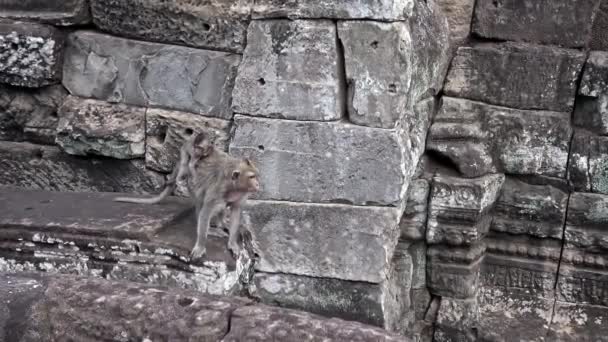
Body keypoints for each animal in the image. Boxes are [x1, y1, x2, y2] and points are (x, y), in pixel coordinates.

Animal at [114, 131, 258, 260]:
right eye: (251, 177)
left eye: (256, 176)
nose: (257, 184)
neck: (233, 186)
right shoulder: (217, 190)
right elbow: (206, 211)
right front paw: (200, 246)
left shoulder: (241, 194)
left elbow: (236, 211)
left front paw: (232, 243)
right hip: (191, 181)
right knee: (199, 196)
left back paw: (221, 223)